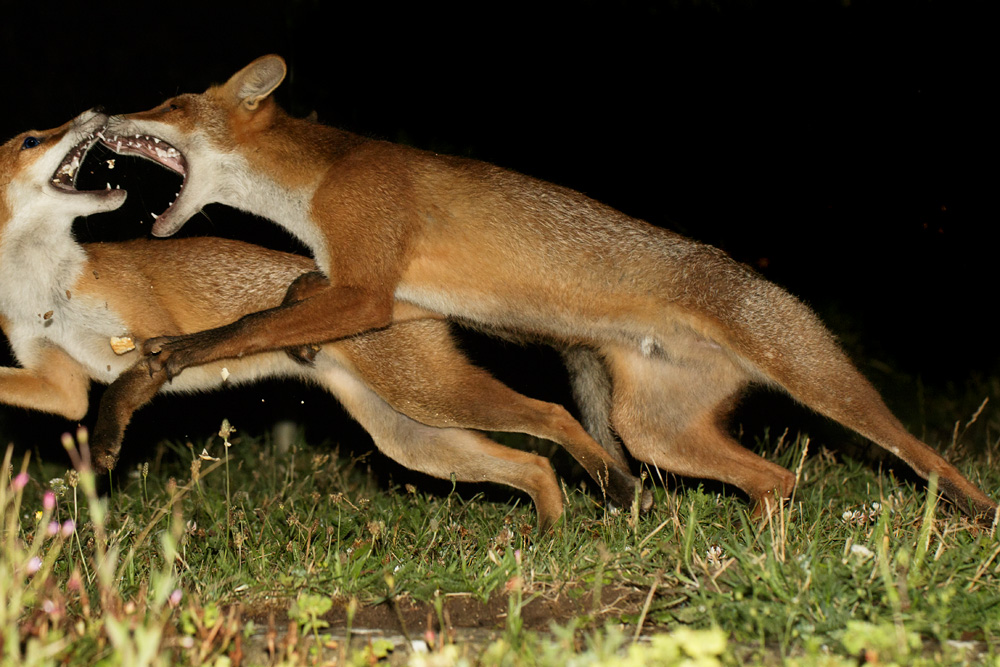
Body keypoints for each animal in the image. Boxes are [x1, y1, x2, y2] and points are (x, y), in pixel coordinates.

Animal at [0, 111, 649, 531]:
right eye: (33, 137)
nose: (93, 111)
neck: (46, 288)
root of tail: (397, 291)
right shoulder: (58, 382)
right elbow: (58, 397)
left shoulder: (148, 339)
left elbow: (124, 391)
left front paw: (106, 443)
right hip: (413, 437)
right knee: (534, 466)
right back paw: (548, 538)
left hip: (432, 398)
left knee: (553, 416)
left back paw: (611, 489)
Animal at [95, 54, 996, 522]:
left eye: (171, 101)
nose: (101, 118)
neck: (315, 186)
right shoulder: (354, 284)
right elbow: (280, 304)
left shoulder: (369, 291)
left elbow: (240, 328)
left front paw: (165, 357)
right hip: (657, 432)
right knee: (774, 479)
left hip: (823, 384)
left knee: (916, 451)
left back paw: (976, 512)